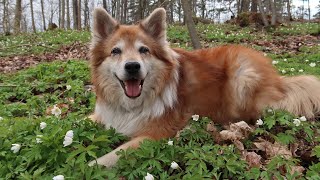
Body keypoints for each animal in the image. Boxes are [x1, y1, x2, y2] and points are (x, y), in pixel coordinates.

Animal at [87, 7, 320, 167]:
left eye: (144, 50)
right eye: (115, 51)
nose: (132, 66)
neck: (132, 104)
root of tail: (278, 79)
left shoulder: (157, 133)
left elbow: (112, 156)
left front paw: (90, 166)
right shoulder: (105, 115)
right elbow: (84, 120)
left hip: (241, 76)